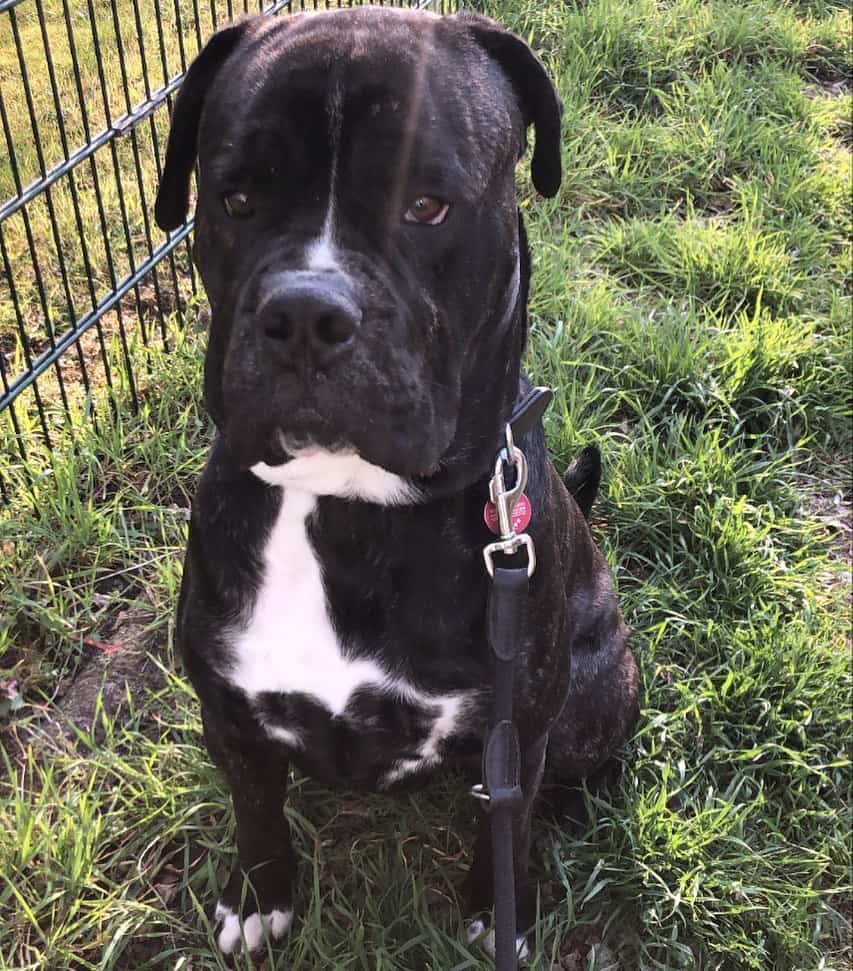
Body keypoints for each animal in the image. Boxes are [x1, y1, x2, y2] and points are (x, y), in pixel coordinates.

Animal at [155, 7, 640, 960]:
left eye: (427, 205)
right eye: (235, 199)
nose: (305, 312)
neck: (342, 503)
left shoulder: (515, 729)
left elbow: (505, 819)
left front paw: (500, 906)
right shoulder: (230, 715)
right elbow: (255, 809)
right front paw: (258, 893)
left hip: (596, 692)